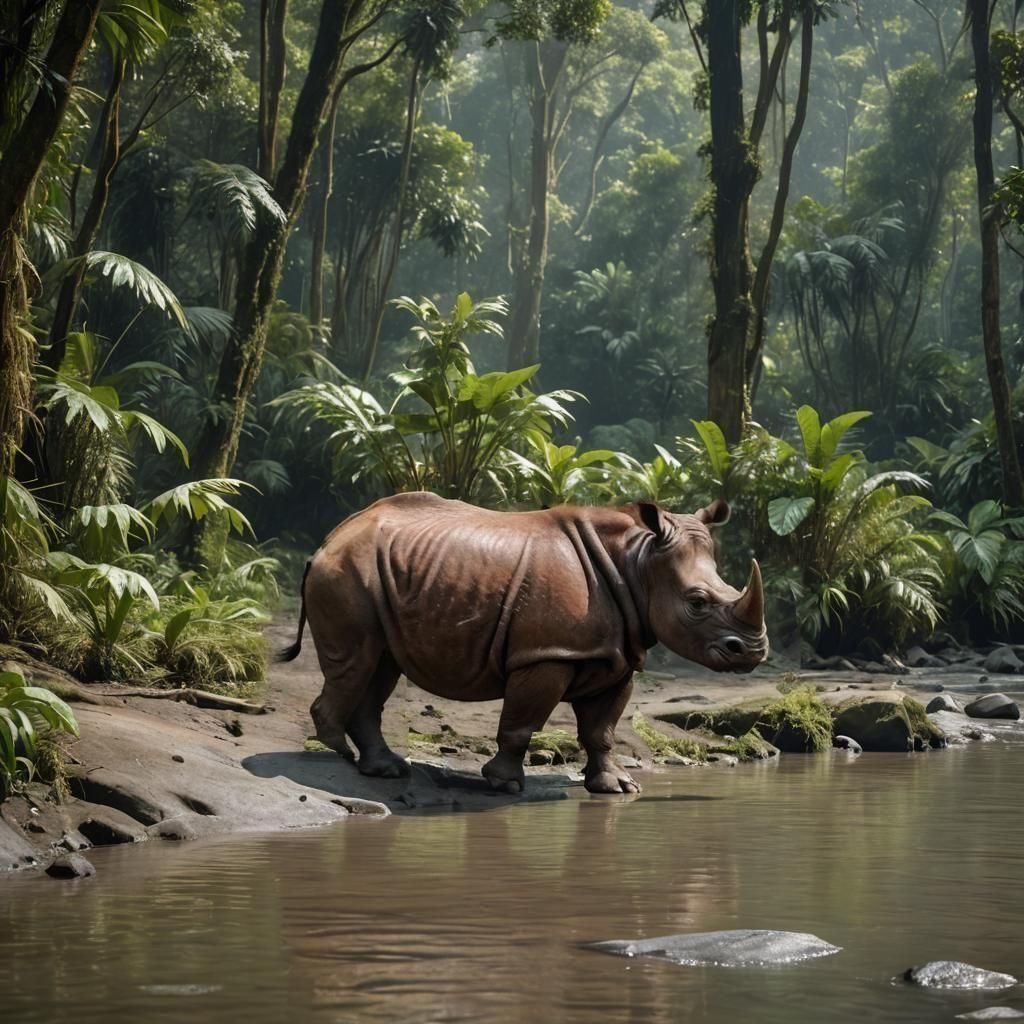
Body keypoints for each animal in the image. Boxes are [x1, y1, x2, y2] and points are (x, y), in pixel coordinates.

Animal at [280, 492, 767, 794]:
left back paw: (385, 770)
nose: (755, 653)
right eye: (697, 602)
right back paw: (339, 754)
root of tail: (329, 540)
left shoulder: (615, 655)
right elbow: (522, 721)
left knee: (381, 666)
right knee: (357, 662)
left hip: (382, 575)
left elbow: (601, 729)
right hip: (349, 572)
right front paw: (505, 784)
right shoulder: (546, 655)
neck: (639, 562)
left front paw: (618, 787)